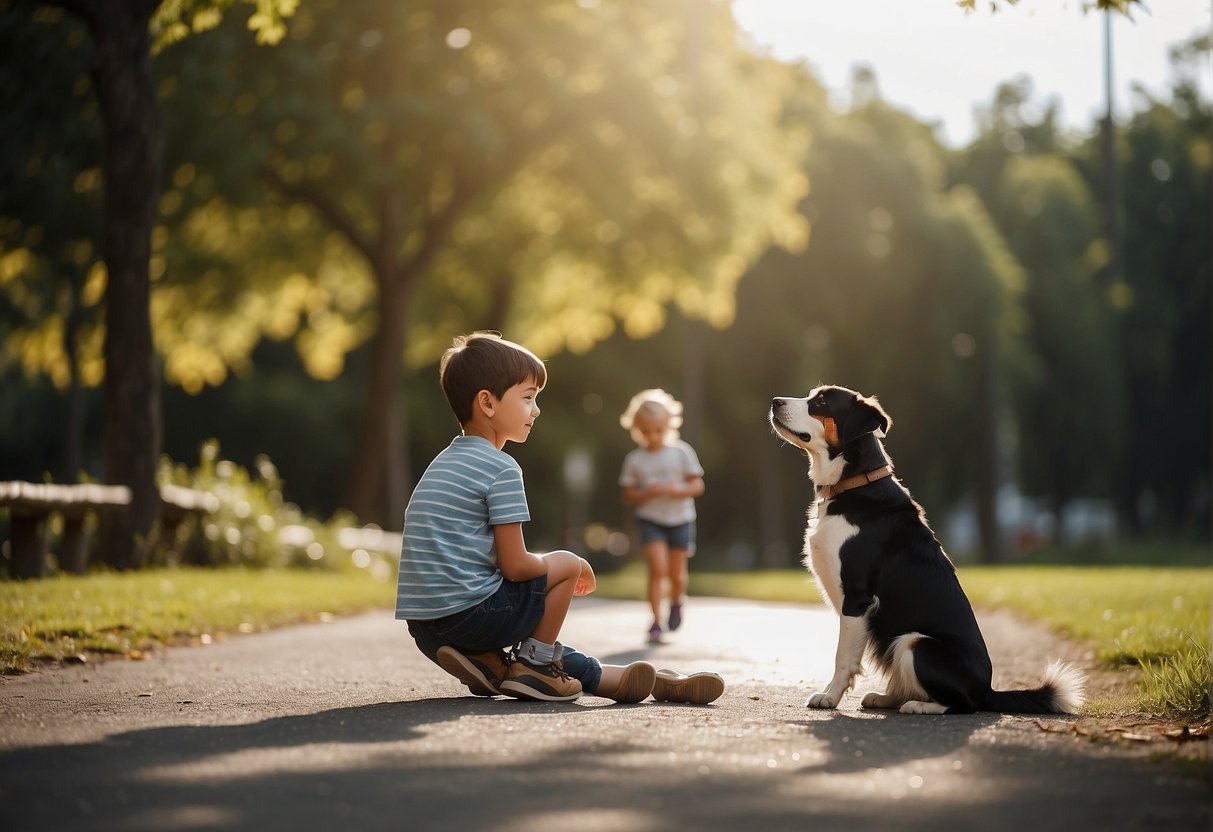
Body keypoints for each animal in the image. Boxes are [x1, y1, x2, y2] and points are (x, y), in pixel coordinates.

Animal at [771, 385, 1086, 717]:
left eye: (820, 402)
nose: (774, 402)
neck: (853, 485)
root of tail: (988, 689)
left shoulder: (856, 598)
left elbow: (843, 657)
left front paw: (829, 697)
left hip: (916, 642)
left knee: (963, 704)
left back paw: (919, 706)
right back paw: (885, 698)